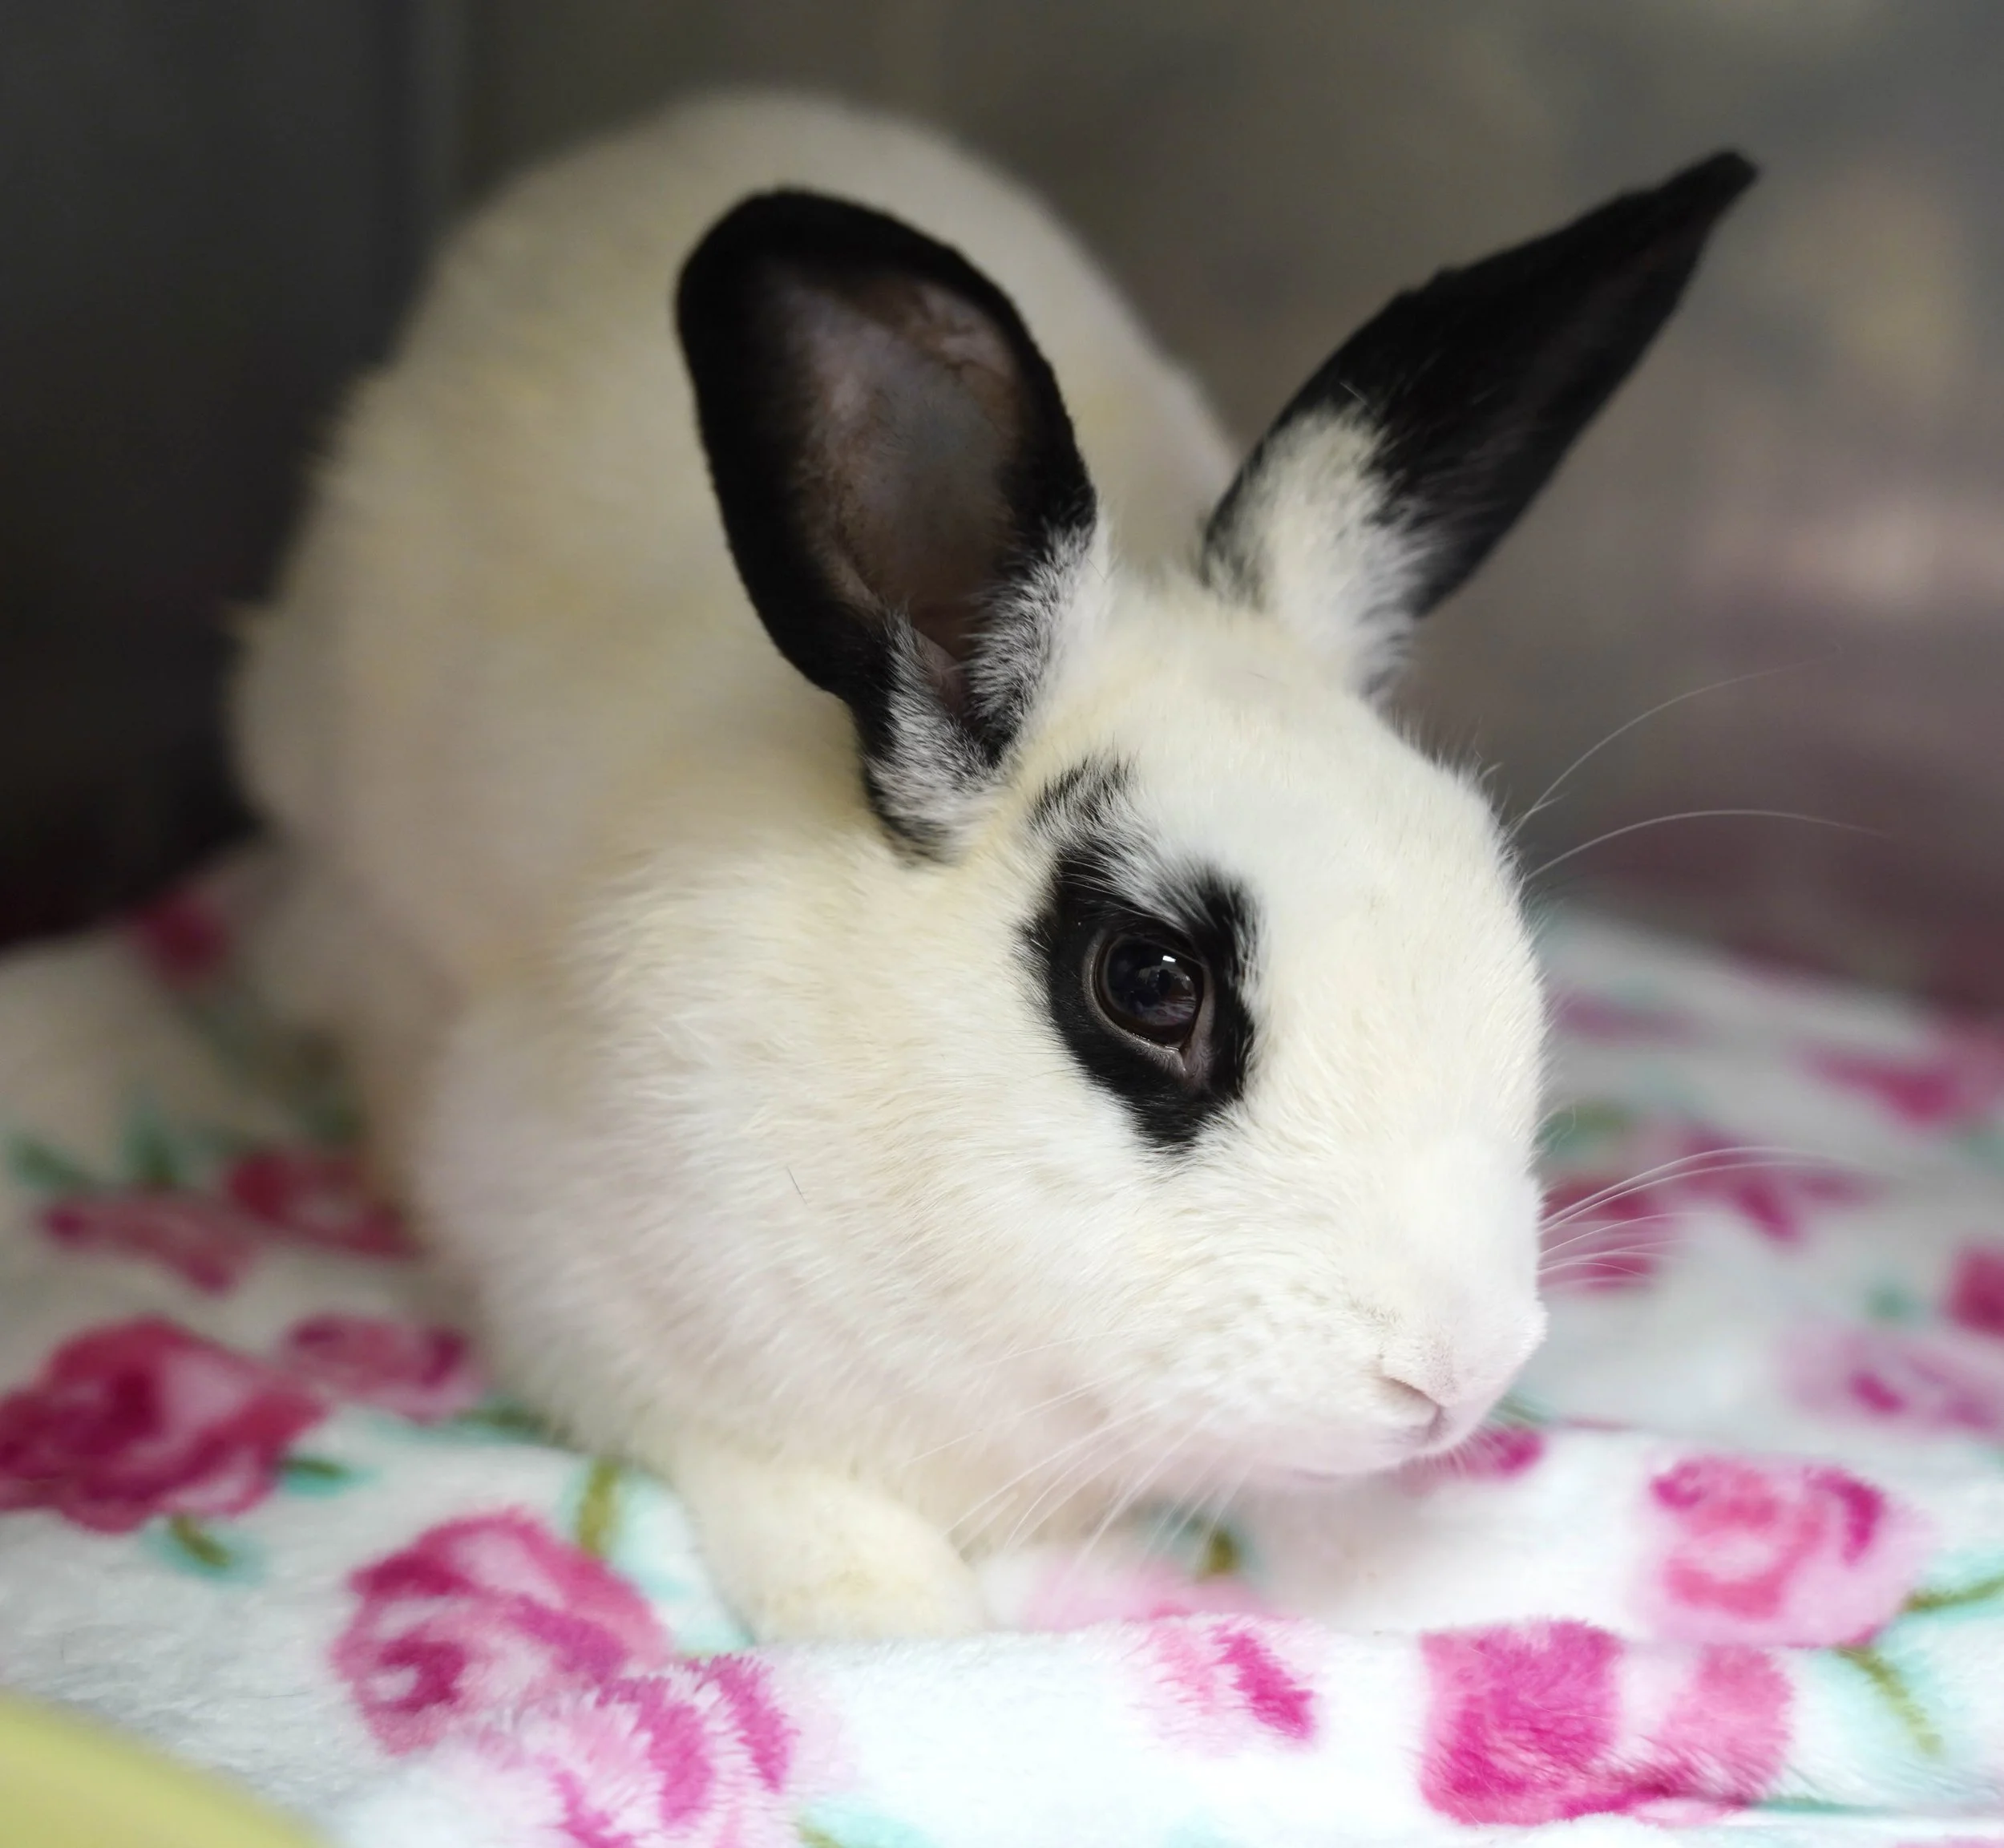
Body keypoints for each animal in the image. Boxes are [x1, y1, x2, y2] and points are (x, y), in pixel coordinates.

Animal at [233, 90, 1752, 1641]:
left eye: (1491, 892)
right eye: (1149, 981)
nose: (1457, 1375)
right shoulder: (572, 1273)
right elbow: (776, 1480)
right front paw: (891, 1621)